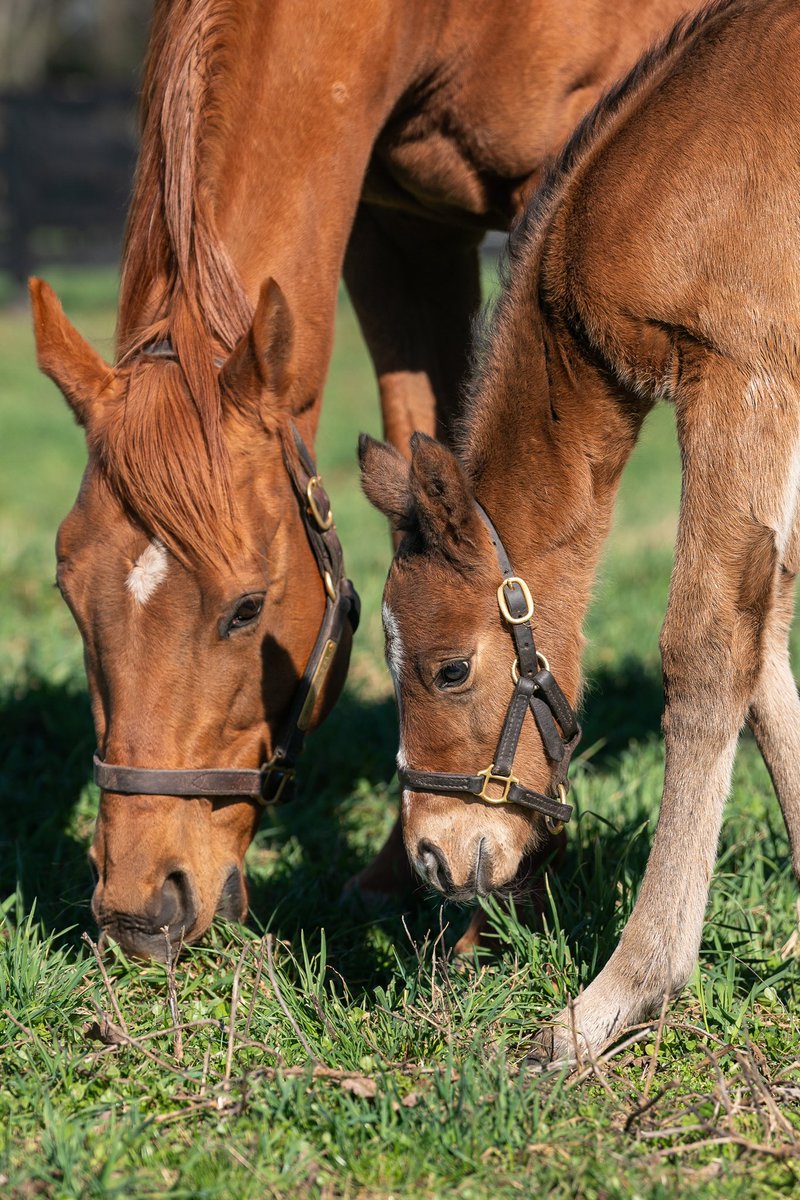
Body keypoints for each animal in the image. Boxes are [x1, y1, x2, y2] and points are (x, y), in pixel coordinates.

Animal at [31, 0, 690, 955]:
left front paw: (500, 896)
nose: (138, 907)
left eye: (246, 610)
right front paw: (406, 873)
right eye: (70, 594)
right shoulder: (397, 230)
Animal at [364, 0, 800, 1065]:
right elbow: (767, 635)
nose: (435, 857)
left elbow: (711, 650)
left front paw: (617, 996)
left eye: (449, 668)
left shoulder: (742, 372)